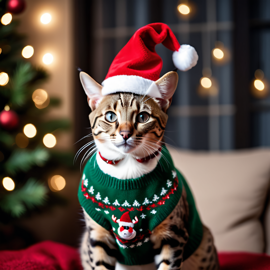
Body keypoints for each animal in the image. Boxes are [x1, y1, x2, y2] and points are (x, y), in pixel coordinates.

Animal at [76, 70, 219, 270]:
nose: (125, 134)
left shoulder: (172, 235)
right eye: (111, 116)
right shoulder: (97, 235)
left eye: (143, 117)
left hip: (204, 244)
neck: (127, 170)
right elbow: (100, 263)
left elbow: (167, 265)